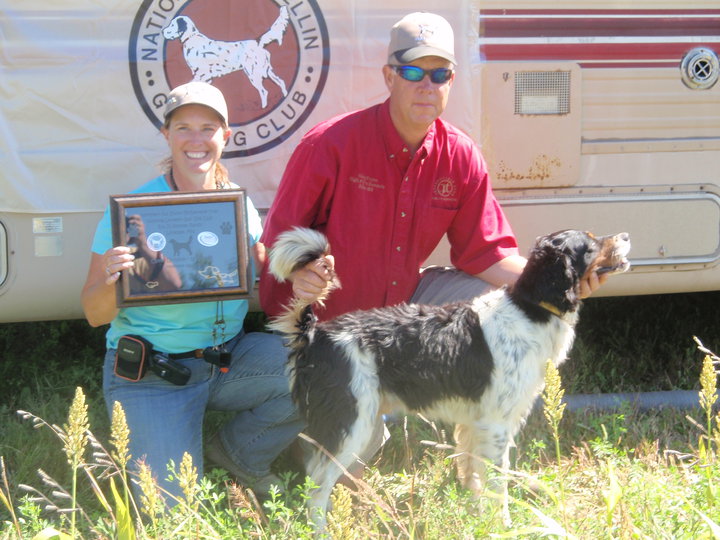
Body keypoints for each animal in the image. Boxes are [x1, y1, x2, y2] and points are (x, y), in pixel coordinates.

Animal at [268, 226, 632, 524]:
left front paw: (477, 519)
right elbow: (497, 485)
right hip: (350, 426)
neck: (529, 308)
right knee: (316, 488)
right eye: (590, 244)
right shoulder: (496, 426)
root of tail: (316, 333)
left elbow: (474, 479)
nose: (627, 236)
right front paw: (504, 525)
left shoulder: (476, 425)